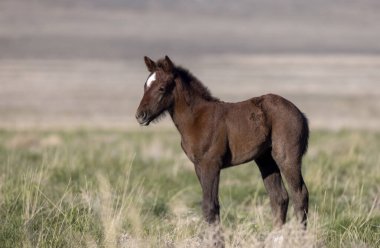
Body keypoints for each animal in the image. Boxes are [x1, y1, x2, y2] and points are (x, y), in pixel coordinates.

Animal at [136, 55, 308, 232]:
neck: (196, 118)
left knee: (299, 194)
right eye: (145, 86)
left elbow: (210, 206)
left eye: (162, 88)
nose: (140, 116)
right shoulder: (198, 166)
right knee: (279, 197)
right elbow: (211, 206)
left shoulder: (211, 164)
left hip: (286, 158)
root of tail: (299, 112)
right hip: (265, 159)